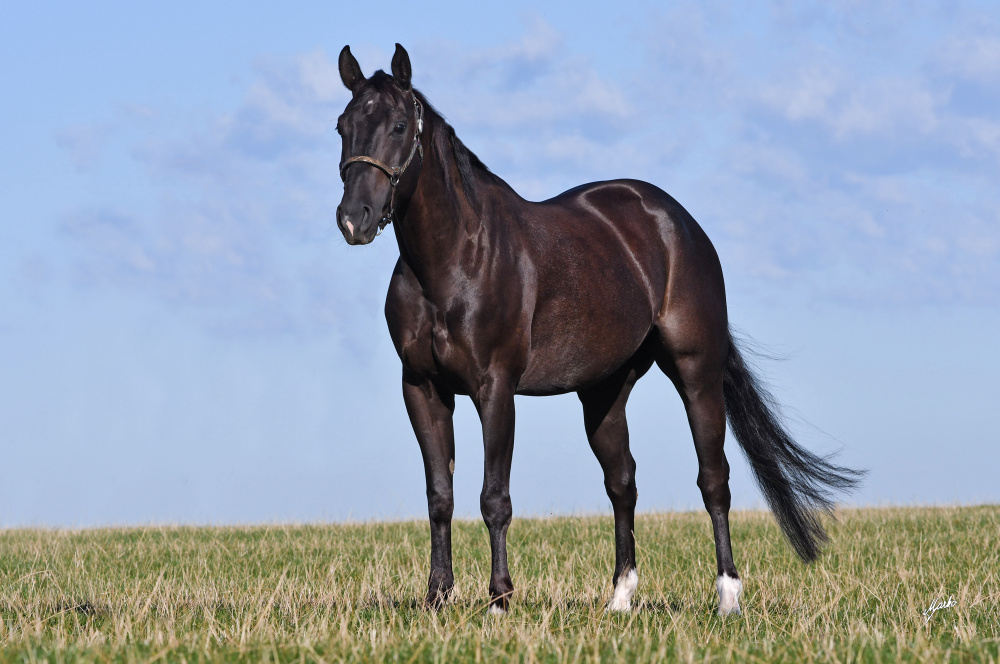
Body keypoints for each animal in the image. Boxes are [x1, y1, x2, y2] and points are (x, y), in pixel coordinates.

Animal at [332, 42, 864, 616]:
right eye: (342, 125)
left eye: (400, 125)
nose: (354, 219)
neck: (455, 261)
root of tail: (677, 222)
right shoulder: (422, 387)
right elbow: (439, 497)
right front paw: (437, 598)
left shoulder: (495, 388)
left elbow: (494, 497)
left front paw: (499, 600)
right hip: (604, 391)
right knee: (622, 482)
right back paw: (620, 598)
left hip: (696, 373)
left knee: (713, 479)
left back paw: (727, 596)